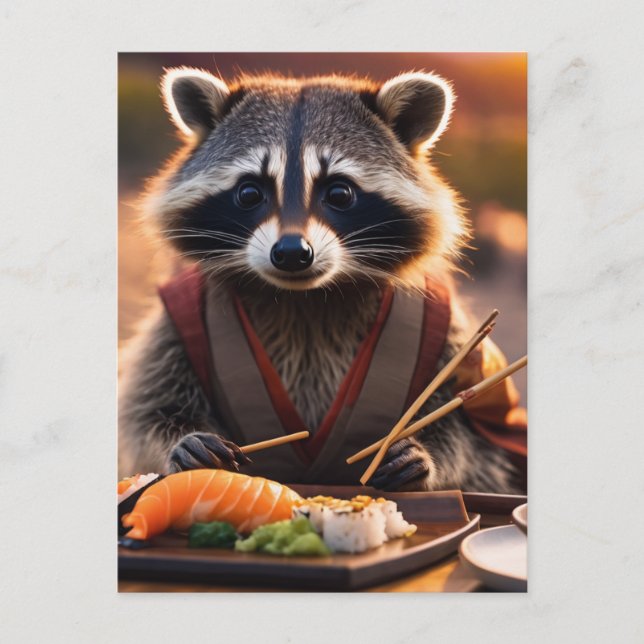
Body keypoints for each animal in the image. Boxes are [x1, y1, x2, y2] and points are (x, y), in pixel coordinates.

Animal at [118, 68, 525, 493]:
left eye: (339, 192)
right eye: (249, 192)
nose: (291, 253)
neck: (303, 297)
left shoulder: (450, 336)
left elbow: (474, 442)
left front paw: (427, 454)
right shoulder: (178, 322)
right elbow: (148, 409)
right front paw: (181, 440)